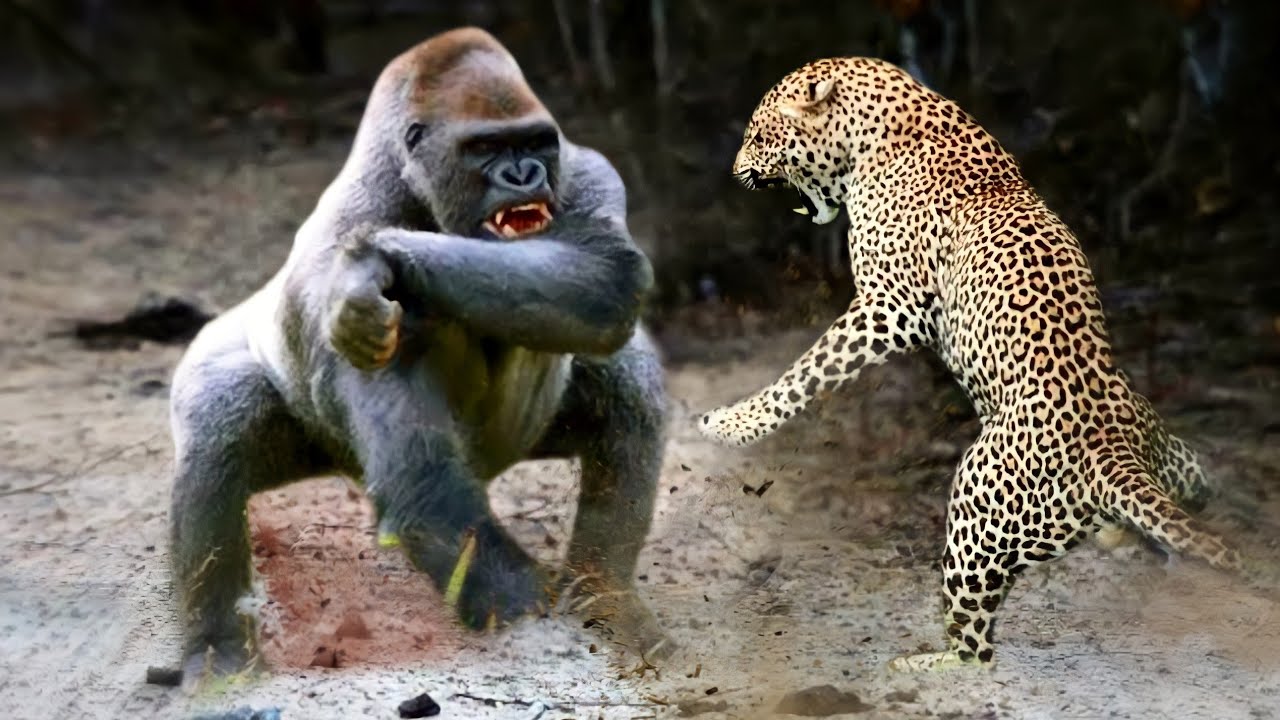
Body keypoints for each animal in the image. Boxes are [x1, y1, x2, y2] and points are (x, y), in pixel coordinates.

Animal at [698, 56, 1241, 671]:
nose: (737, 172)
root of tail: (1112, 456)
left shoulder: (891, 308)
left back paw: (920, 663)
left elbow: (805, 373)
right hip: (1176, 464)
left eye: (758, 136)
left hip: (973, 513)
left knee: (976, 647)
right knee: (1194, 500)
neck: (876, 131)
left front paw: (732, 424)